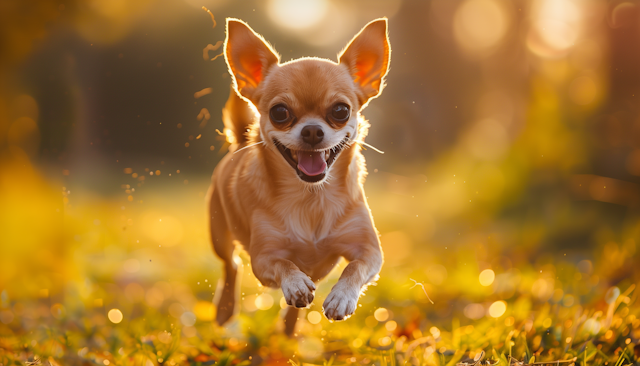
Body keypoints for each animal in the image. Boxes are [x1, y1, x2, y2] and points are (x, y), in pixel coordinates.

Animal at [210, 16, 390, 332]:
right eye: (279, 112)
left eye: (341, 110)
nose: (312, 131)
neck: (311, 197)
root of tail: (240, 143)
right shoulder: (264, 258)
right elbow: (285, 265)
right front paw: (294, 283)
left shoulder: (369, 250)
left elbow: (355, 268)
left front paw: (342, 296)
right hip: (219, 235)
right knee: (231, 265)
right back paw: (226, 307)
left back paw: (289, 328)